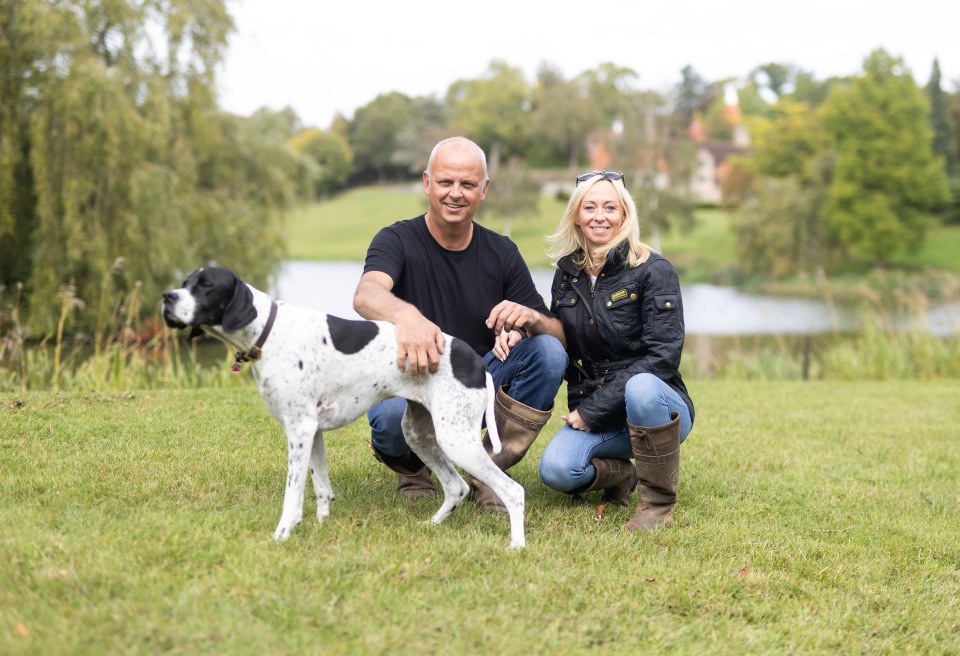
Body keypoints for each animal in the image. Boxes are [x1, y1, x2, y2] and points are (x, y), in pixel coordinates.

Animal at [162, 266, 528, 548]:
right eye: (184, 282)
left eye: (206, 285)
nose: (167, 297)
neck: (270, 330)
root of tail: (476, 362)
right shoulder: (313, 433)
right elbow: (322, 489)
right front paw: (320, 527)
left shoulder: (299, 431)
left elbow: (293, 494)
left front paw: (283, 534)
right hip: (421, 434)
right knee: (456, 486)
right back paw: (432, 525)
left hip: (457, 440)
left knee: (512, 491)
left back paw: (516, 545)